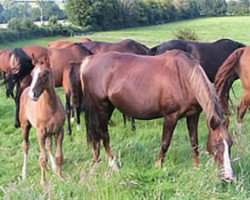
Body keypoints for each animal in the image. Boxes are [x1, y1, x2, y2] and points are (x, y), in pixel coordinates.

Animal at [19, 54, 66, 184]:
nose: (33, 94)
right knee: (26, 146)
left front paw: (60, 177)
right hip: (25, 126)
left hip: (49, 132)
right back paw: (24, 173)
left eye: (45, 73)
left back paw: (53, 167)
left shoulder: (60, 131)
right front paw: (43, 182)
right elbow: (42, 158)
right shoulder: (40, 133)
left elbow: (59, 156)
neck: (51, 108)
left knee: (48, 145)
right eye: (32, 73)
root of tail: (25, 89)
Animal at [81, 49, 234, 181]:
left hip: (106, 107)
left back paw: (97, 160)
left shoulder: (193, 116)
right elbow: (165, 143)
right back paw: (113, 164)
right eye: (216, 145)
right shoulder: (171, 117)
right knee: (104, 134)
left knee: (96, 134)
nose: (229, 177)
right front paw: (158, 166)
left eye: (230, 144)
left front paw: (196, 168)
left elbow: (194, 142)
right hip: (102, 106)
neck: (184, 78)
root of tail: (88, 61)